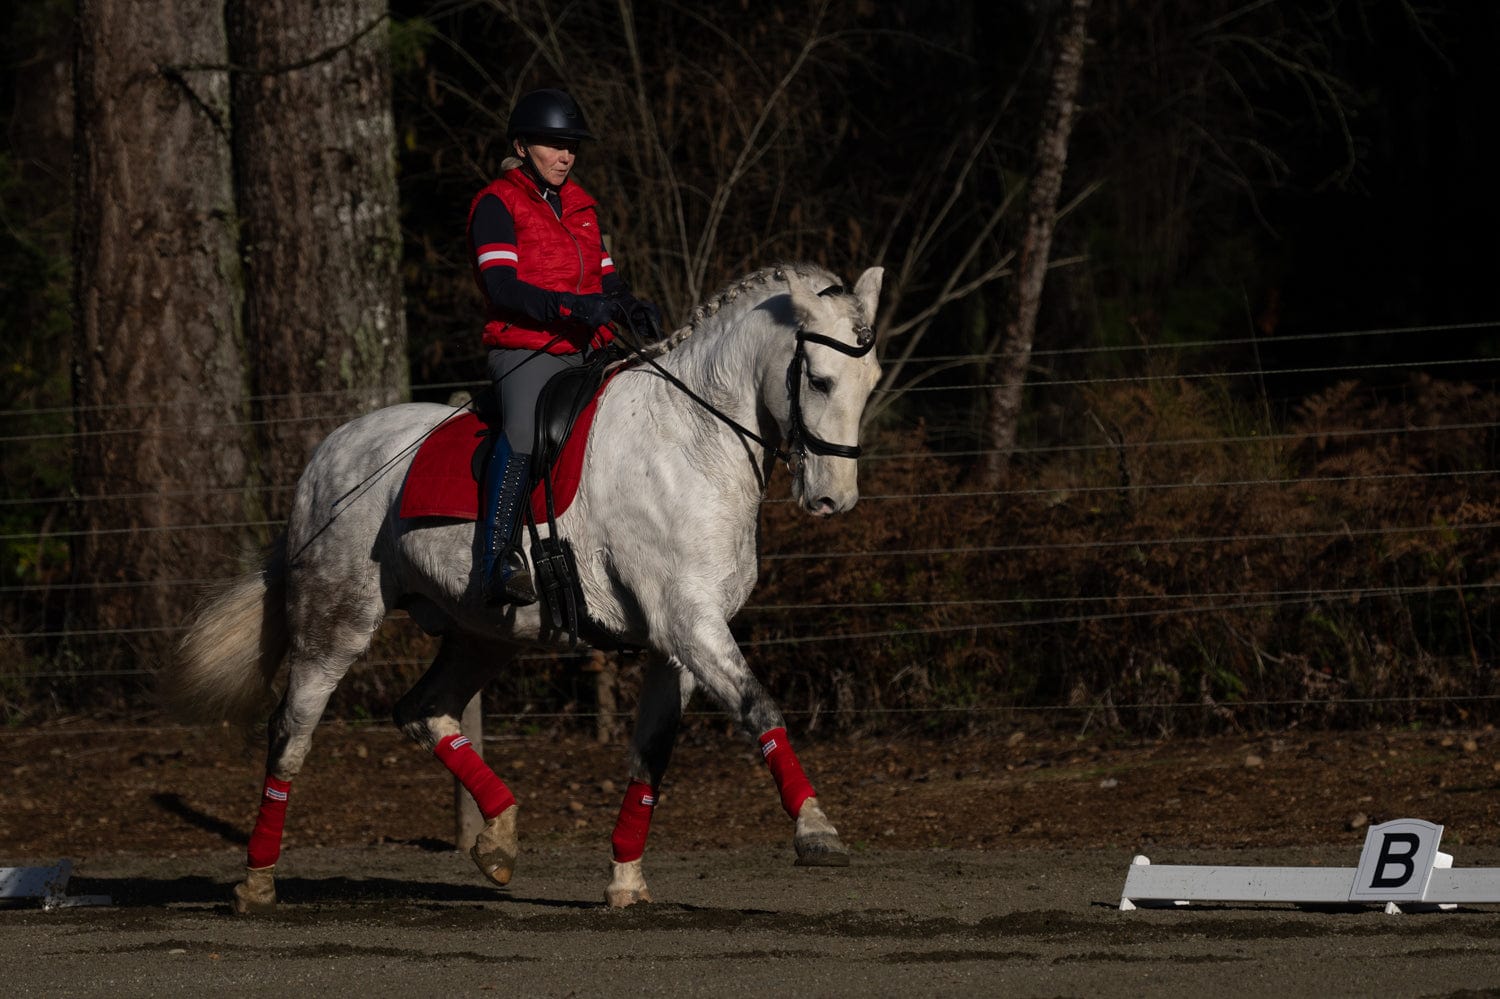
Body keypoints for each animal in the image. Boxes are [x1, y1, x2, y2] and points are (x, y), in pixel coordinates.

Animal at [165, 262, 882, 912]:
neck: (692, 441)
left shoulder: (679, 641)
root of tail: (324, 455)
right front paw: (817, 831)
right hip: (335, 623)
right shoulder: (690, 625)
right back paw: (257, 881)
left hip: (483, 633)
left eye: (870, 383)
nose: (834, 499)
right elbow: (761, 708)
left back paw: (497, 838)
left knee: (422, 709)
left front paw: (625, 881)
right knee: (290, 735)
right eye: (819, 379)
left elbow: (650, 753)